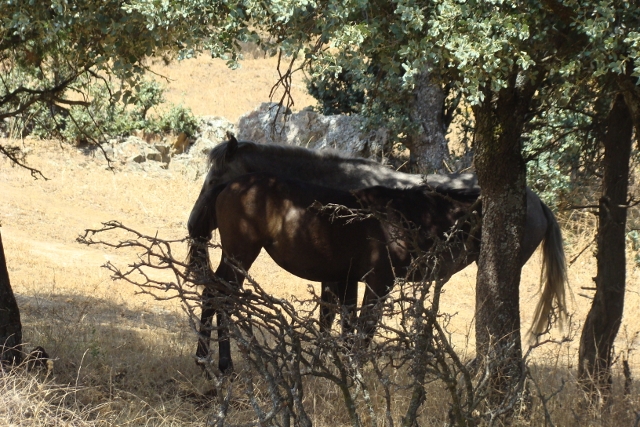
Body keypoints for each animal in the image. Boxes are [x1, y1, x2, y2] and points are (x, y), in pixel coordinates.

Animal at [187, 172, 483, 373]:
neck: (401, 218)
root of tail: (229, 185)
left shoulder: (344, 279)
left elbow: (341, 327)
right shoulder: (379, 282)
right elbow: (364, 329)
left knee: (212, 294)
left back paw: (204, 358)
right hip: (241, 255)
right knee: (220, 297)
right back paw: (222, 364)